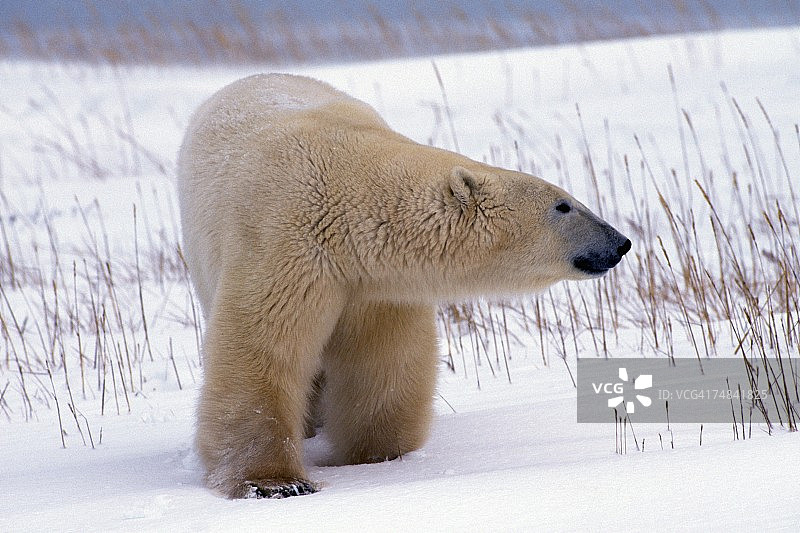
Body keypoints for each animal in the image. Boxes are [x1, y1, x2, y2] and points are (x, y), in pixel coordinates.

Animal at [177, 73, 631, 499]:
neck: (346, 187)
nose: (620, 242)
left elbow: (382, 361)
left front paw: (379, 455)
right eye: (563, 205)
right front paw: (275, 482)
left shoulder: (376, 282)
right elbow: (262, 348)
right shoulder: (285, 241)